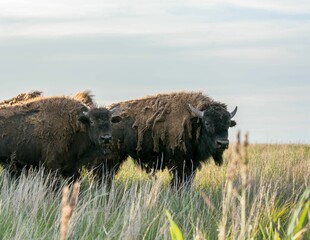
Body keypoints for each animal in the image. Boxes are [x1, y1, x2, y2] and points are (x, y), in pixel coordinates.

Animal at [107, 91, 237, 187]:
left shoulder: (192, 162)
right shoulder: (178, 162)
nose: (222, 143)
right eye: (207, 123)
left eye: (228, 123)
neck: (192, 120)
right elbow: (178, 181)